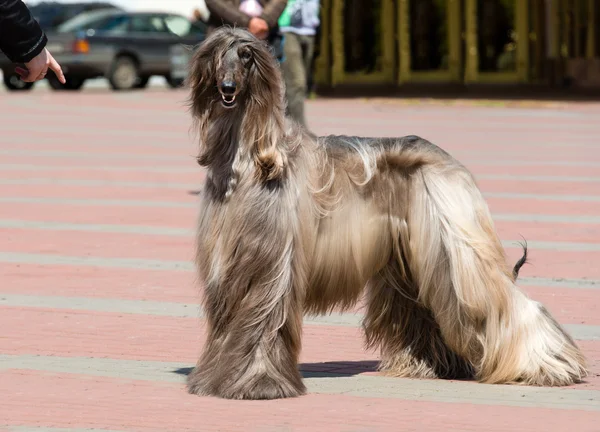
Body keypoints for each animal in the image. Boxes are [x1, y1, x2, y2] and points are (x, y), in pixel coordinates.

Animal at [186, 26, 584, 398]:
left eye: (247, 57)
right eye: (218, 55)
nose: (227, 88)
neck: (247, 158)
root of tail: (447, 158)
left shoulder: (271, 261)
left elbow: (263, 316)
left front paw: (259, 383)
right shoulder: (231, 264)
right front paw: (214, 381)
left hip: (455, 244)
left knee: (503, 301)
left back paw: (550, 366)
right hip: (412, 260)